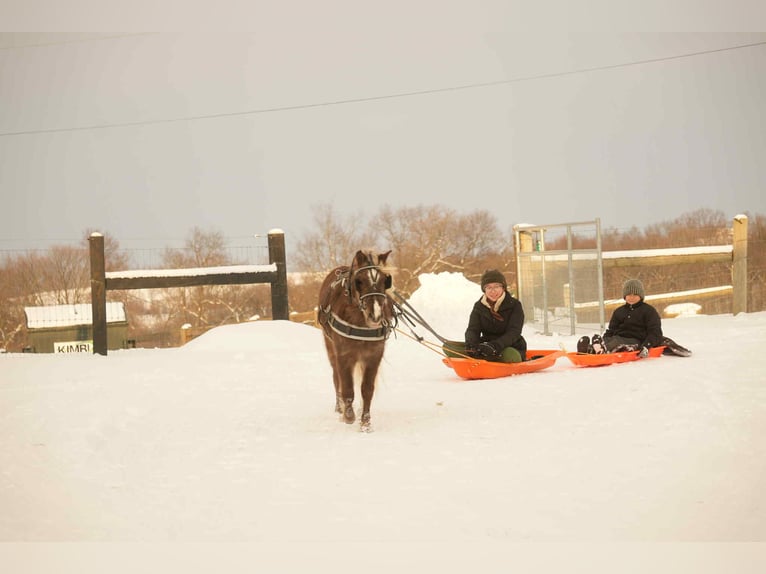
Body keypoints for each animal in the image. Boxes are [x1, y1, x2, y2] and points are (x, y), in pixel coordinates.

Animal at [317, 250, 395, 432]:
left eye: (385, 280)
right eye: (360, 281)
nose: (375, 315)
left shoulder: (374, 356)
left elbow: (367, 390)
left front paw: (365, 422)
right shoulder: (344, 355)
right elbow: (346, 387)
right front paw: (348, 415)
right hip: (331, 349)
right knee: (336, 377)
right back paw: (340, 408)